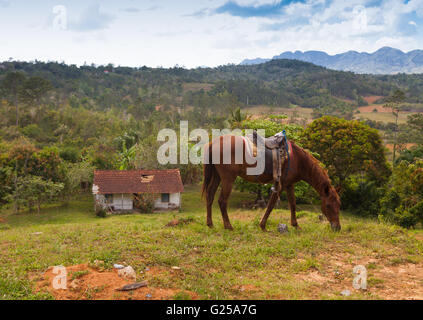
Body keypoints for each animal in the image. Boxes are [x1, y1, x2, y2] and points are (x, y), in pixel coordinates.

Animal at [202, 134, 342, 231]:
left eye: (339, 205)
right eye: (328, 205)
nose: (337, 227)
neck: (297, 160)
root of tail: (214, 142)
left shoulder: (289, 184)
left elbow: (292, 204)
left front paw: (296, 225)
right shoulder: (280, 185)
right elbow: (271, 204)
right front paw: (263, 225)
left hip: (217, 176)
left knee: (210, 196)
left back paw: (210, 224)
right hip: (228, 179)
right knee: (222, 200)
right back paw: (228, 226)